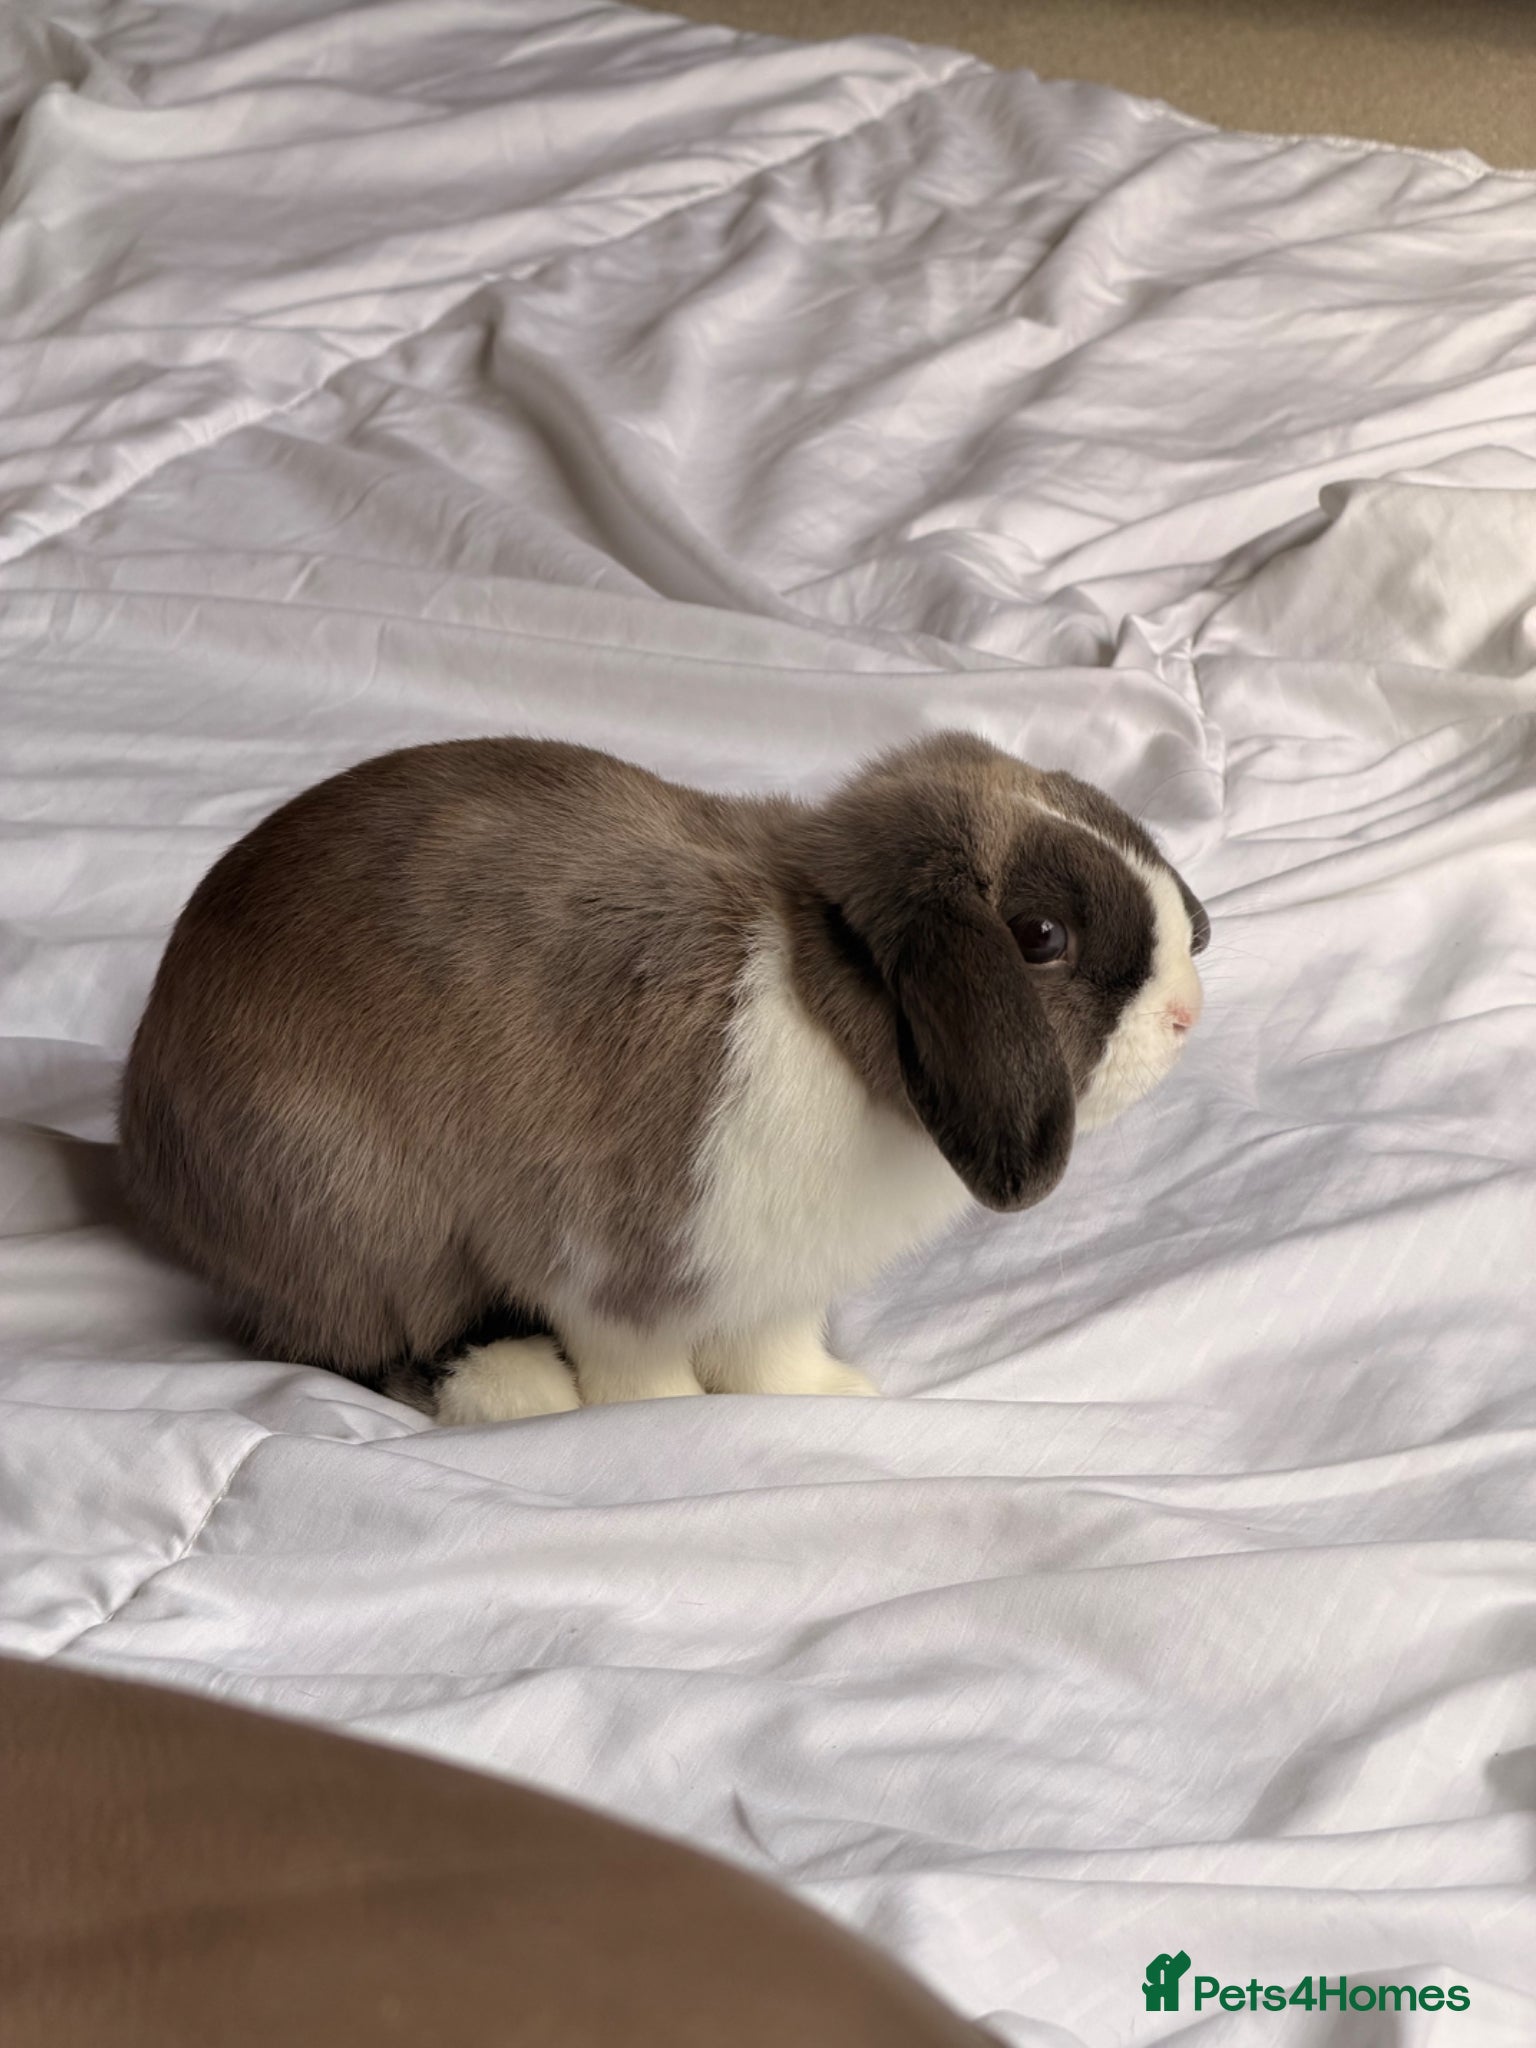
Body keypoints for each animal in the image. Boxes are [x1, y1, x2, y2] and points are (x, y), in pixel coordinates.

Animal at [118, 731, 1209, 1424]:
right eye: (1041, 936)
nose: (1189, 1012)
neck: (826, 1004)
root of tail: (141, 1138)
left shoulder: (774, 1283)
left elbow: (772, 1354)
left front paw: (829, 1399)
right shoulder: (605, 1257)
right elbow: (633, 1367)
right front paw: (666, 1425)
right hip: (344, 1197)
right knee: (350, 1335)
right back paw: (514, 1389)